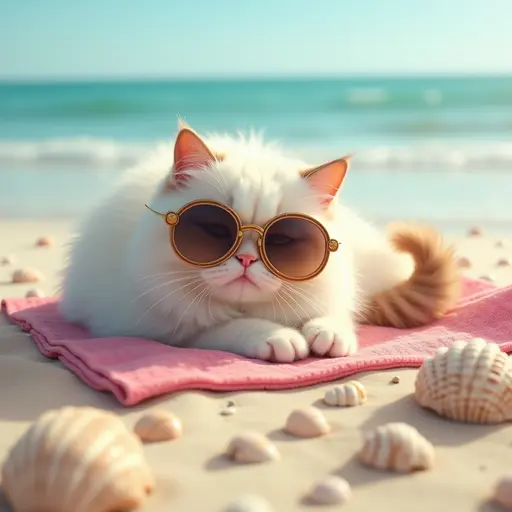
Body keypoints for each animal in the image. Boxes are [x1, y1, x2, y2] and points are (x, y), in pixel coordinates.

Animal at [59, 123, 460, 364]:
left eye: (282, 240)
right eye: (216, 231)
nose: (247, 261)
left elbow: (336, 313)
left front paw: (329, 333)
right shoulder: (159, 330)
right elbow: (227, 327)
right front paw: (279, 337)